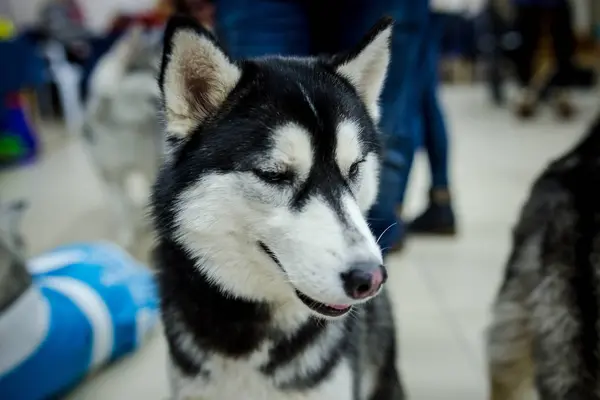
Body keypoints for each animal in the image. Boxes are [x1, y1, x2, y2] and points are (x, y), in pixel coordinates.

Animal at [84, 27, 164, 247]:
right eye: (155, 73)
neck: (120, 125)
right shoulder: (110, 176)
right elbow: (120, 208)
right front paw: (126, 233)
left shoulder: (148, 165)